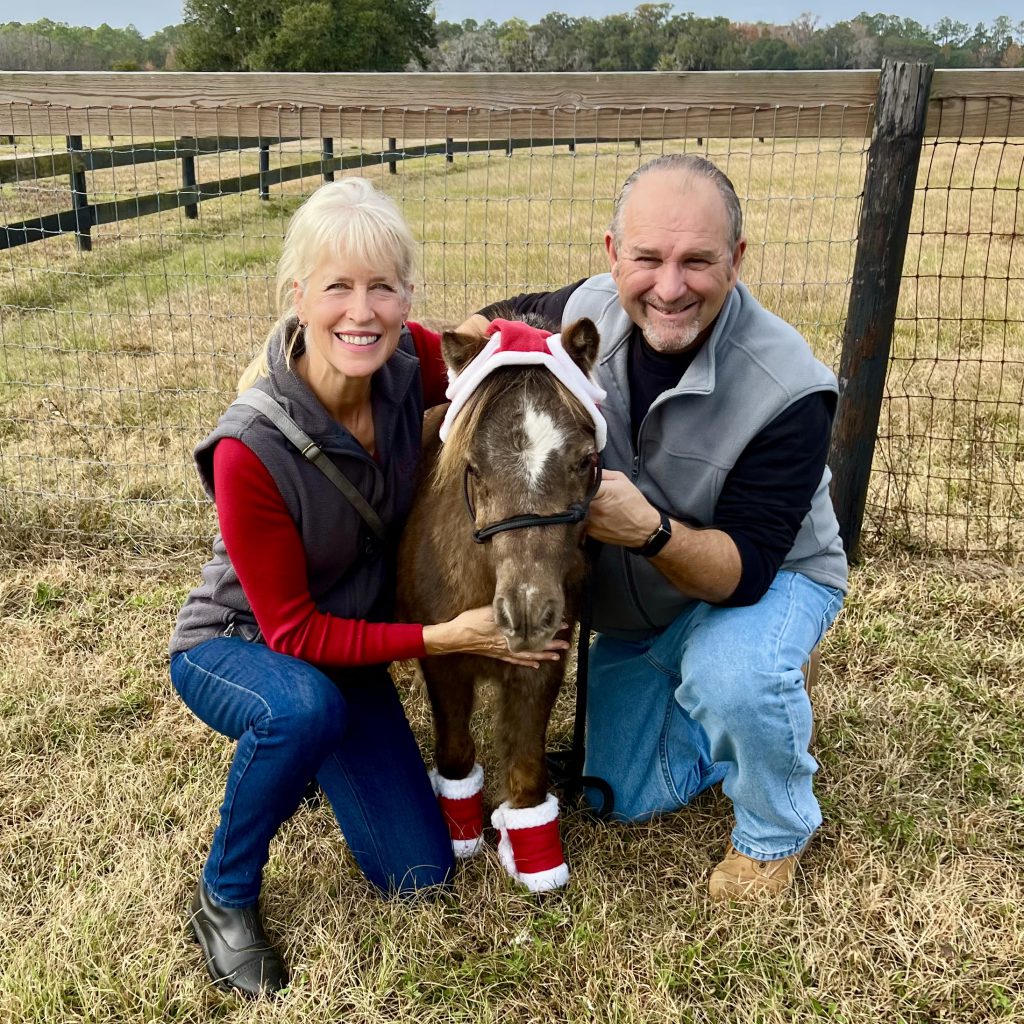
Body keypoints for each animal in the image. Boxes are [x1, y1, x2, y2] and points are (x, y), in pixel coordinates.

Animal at [397, 315, 606, 892]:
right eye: (472, 466)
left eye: (586, 461)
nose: (528, 615)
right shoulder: (444, 666)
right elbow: (455, 755)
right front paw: (462, 836)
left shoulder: (541, 669)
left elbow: (529, 771)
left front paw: (535, 863)